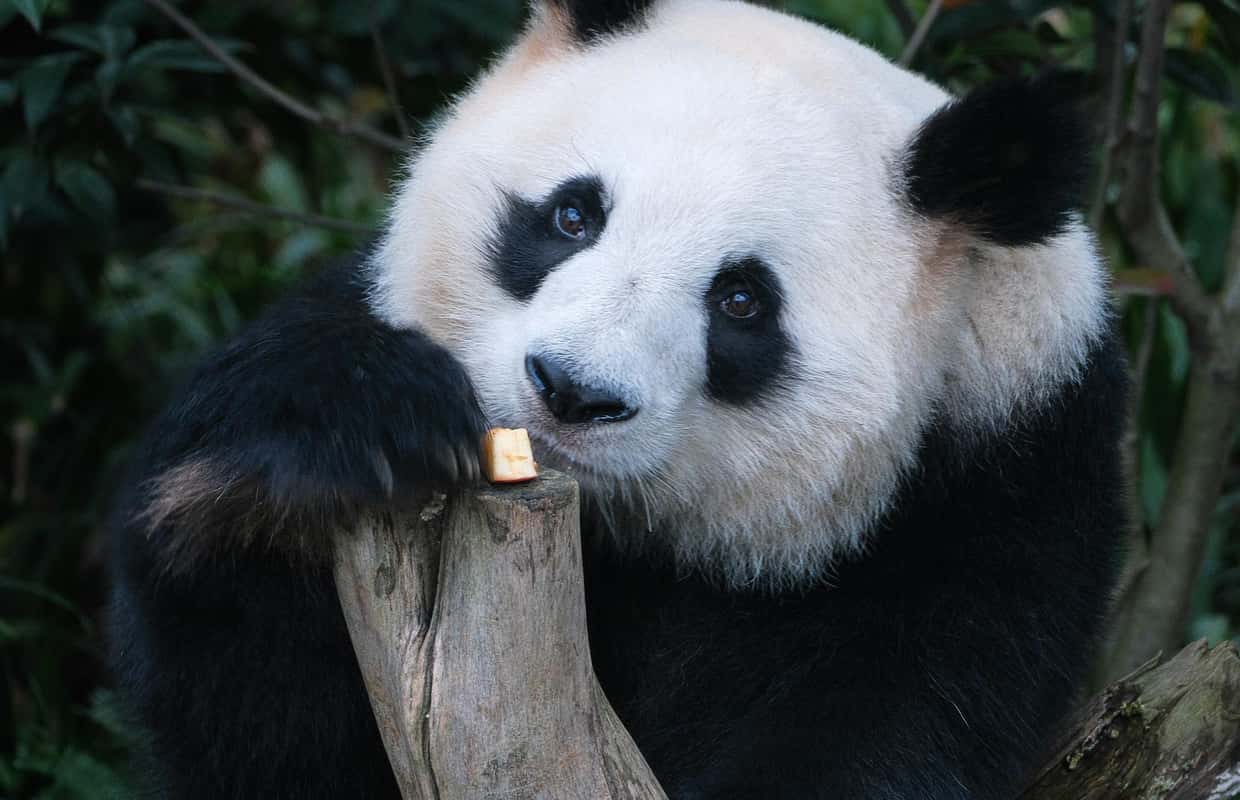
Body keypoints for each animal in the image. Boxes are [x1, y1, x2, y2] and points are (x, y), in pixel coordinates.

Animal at [106, 1, 1128, 798]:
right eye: (572, 215)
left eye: (741, 301)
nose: (571, 391)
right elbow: (261, 719)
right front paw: (344, 444)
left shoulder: (993, 499)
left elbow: (898, 720)